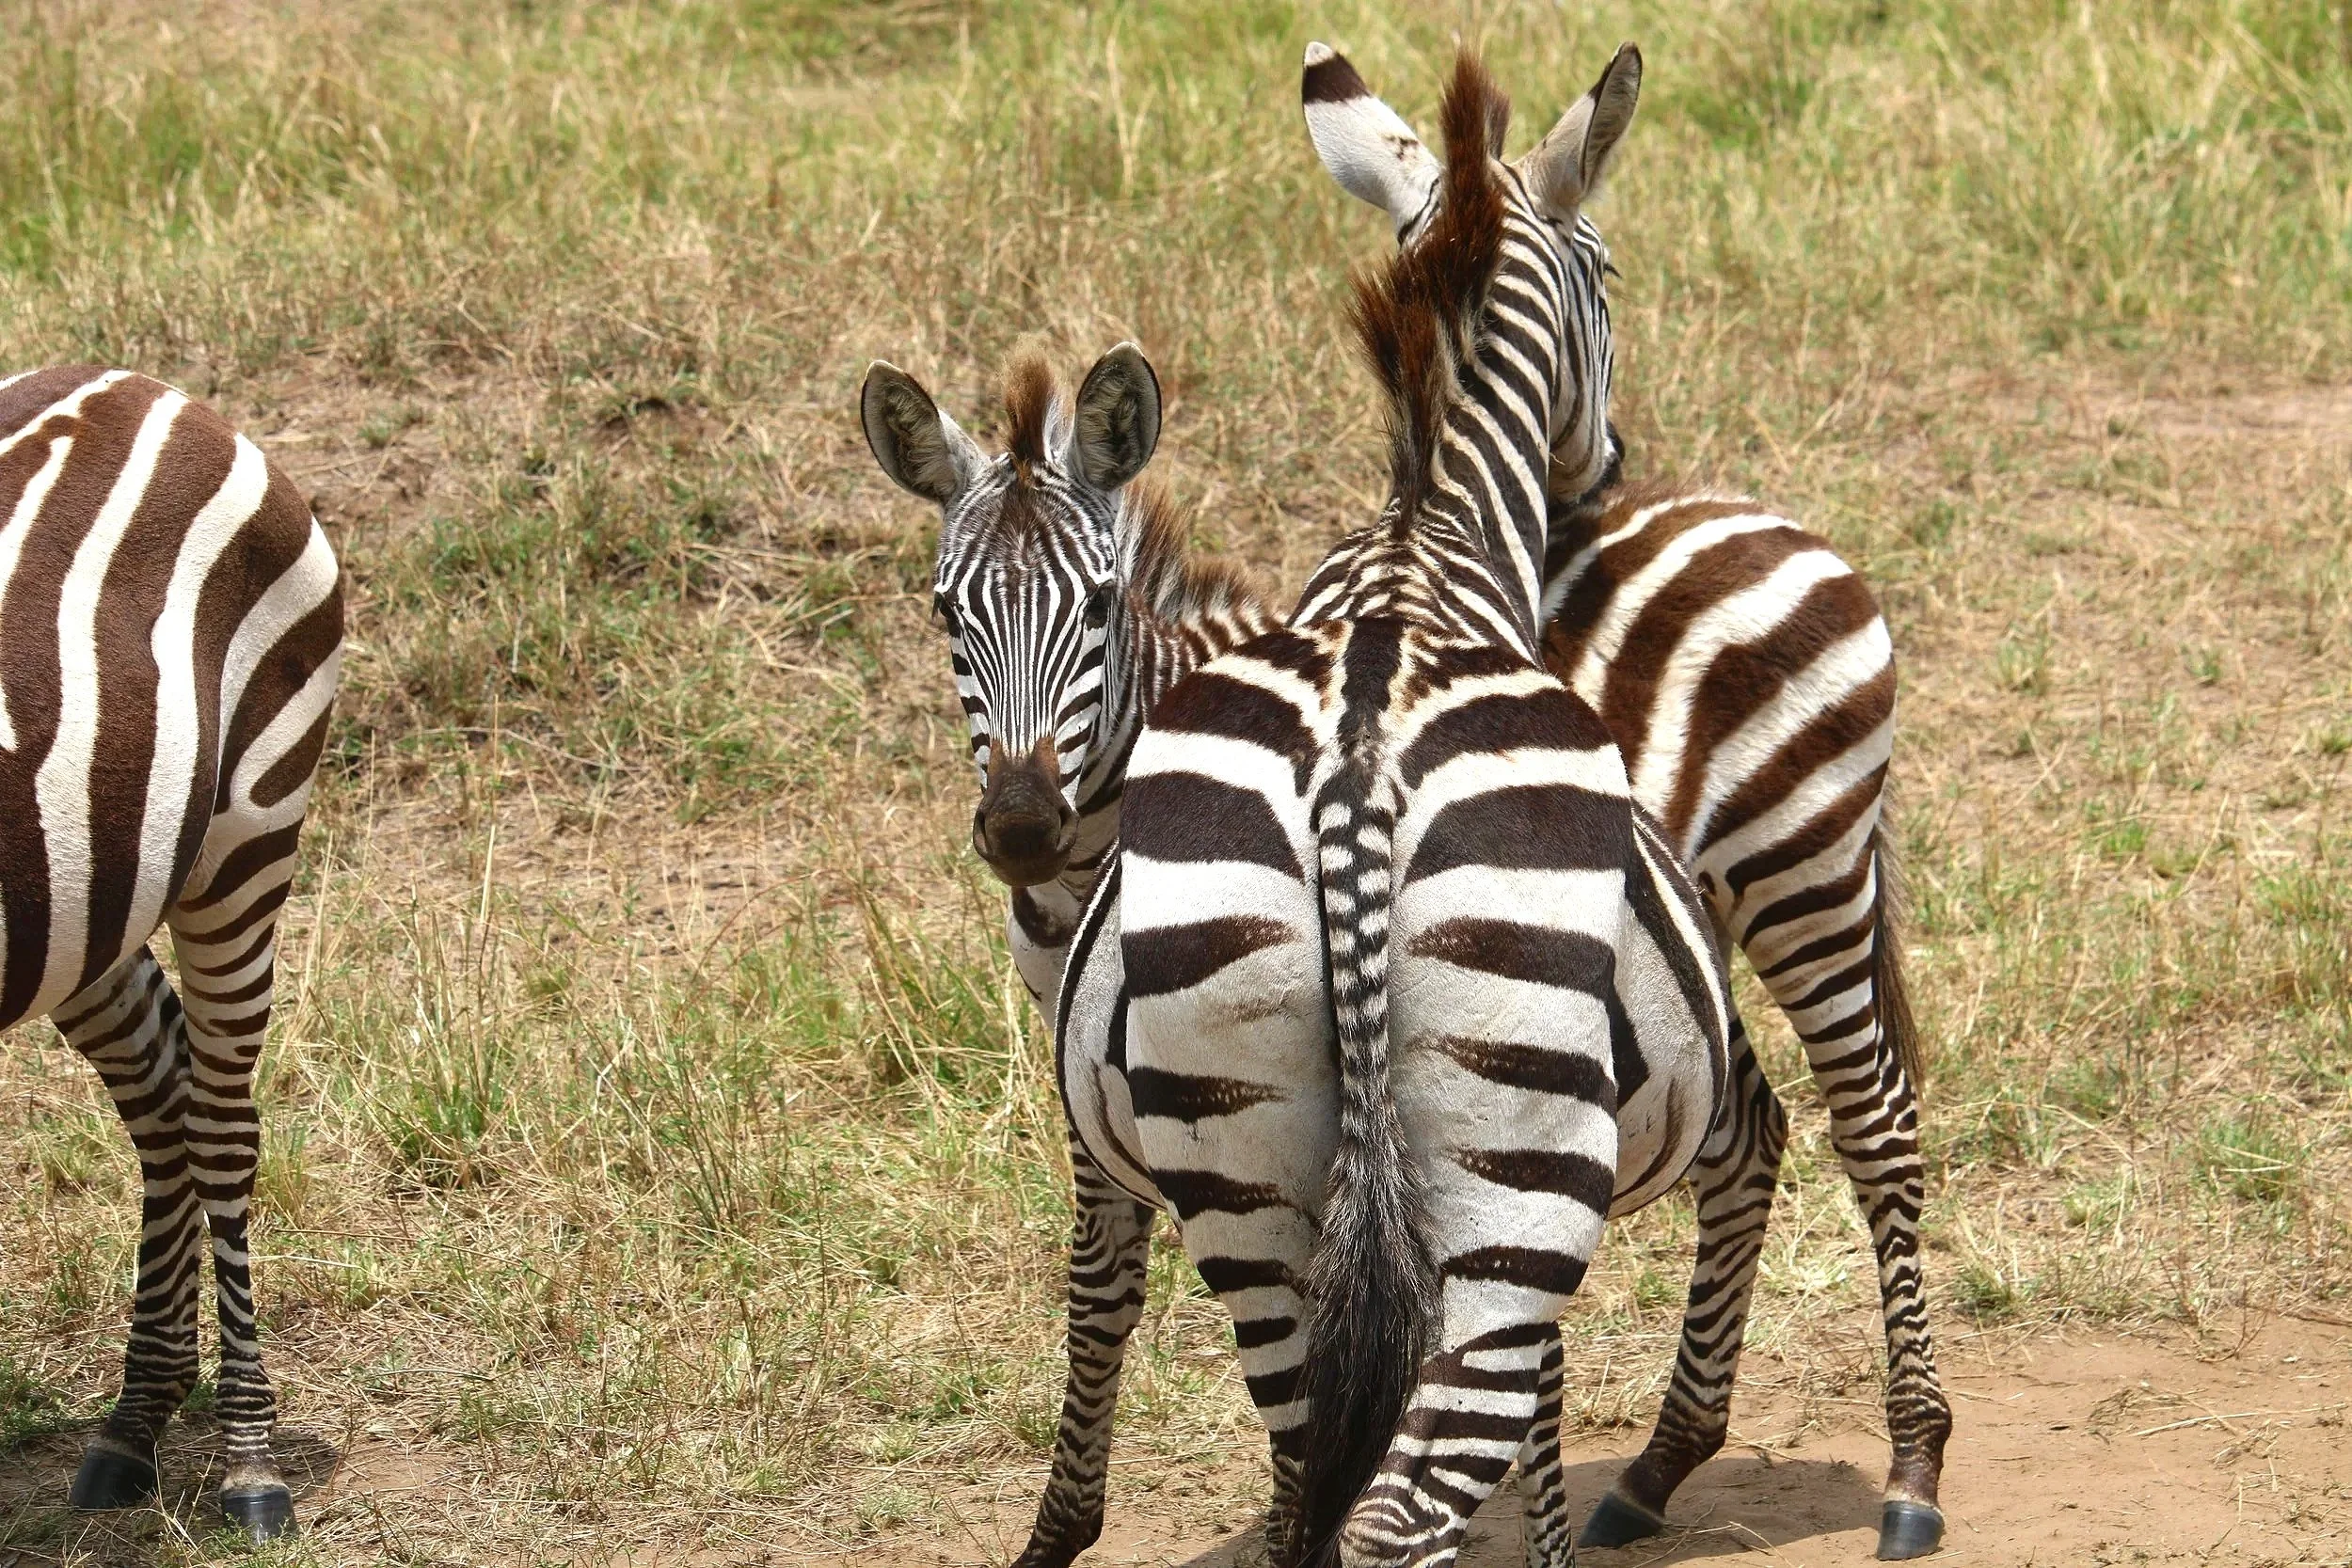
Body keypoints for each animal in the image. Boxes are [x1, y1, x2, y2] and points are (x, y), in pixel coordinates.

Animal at [0, 366, 342, 1541]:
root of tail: (140, 386)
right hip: (86, 899)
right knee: (162, 1095)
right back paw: (135, 1420)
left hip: (247, 834)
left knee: (219, 1123)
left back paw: (248, 1460)